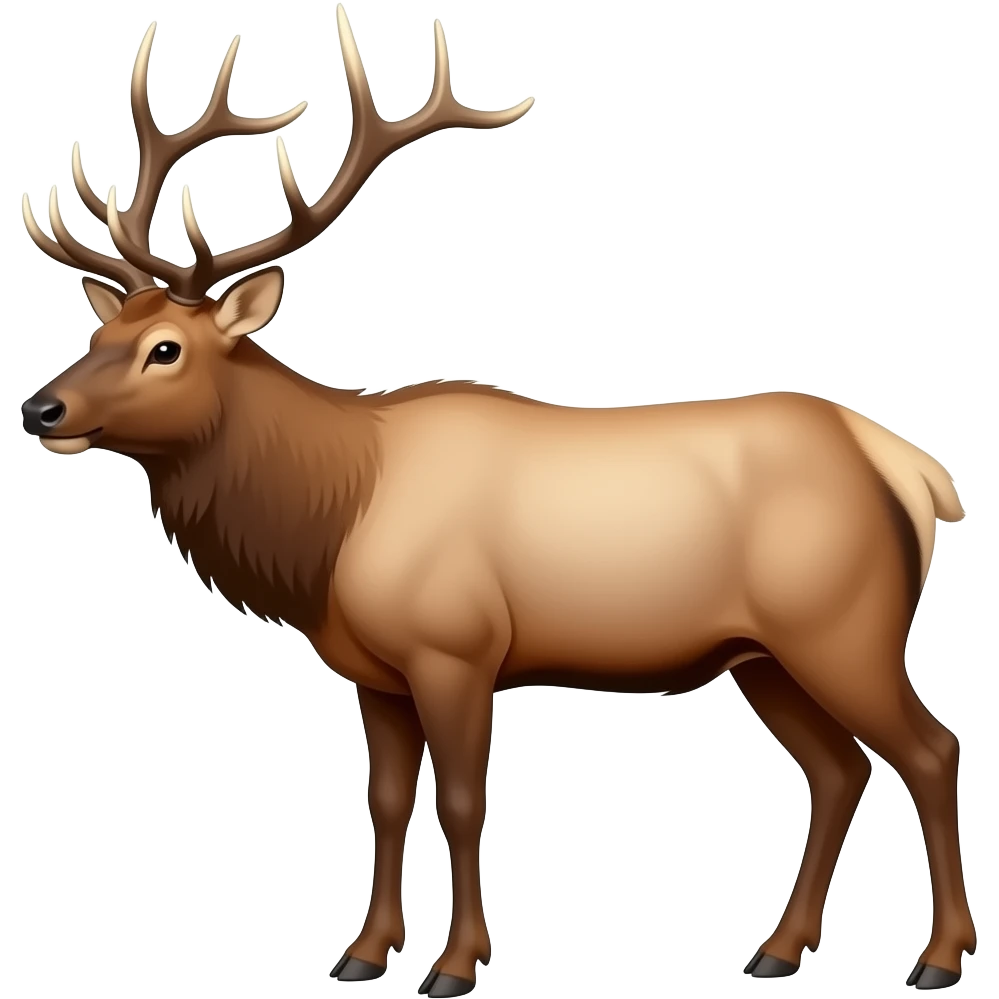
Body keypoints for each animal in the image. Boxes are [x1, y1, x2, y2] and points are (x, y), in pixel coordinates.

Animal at [17, 9, 974, 997]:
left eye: (165, 348)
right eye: (97, 331)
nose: (39, 408)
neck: (329, 523)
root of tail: (911, 468)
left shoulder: (456, 647)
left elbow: (463, 801)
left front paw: (455, 962)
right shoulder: (374, 671)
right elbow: (384, 799)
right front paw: (363, 952)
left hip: (843, 627)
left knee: (929, 749)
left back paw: (937, 957)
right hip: (765, 655)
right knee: (839, 769)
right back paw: (776, 949)